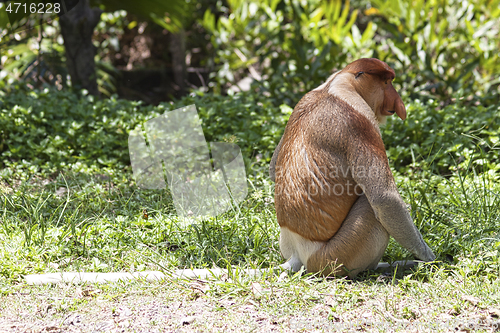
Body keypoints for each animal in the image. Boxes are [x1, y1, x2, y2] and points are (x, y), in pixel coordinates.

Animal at [270, 57, 434, 278]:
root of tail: (297, 255)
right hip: (337, 255)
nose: (397, 101)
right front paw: (430, 258)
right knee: (370, 206)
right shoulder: (360, 121)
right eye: (386, 83)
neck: (337, 82)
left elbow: (273, 167)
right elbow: (384, 198)